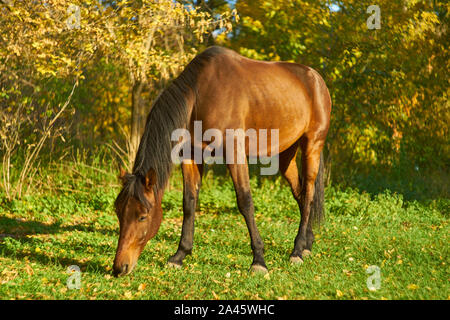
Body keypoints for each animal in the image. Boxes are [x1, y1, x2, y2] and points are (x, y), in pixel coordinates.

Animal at [112, 46, 330, 276]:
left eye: (142, 216)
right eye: (119, 212)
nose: (119, 267)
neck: (199, 96)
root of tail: (316, 78)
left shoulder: (235, 153)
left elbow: (245, 201)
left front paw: (259, 260)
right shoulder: (191, 155)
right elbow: (189, 202)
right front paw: (180, 255)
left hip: (312, 145)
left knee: (309, 193)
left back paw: (297, 251)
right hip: (286, 155)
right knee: (300, 193)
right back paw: (306, 244)